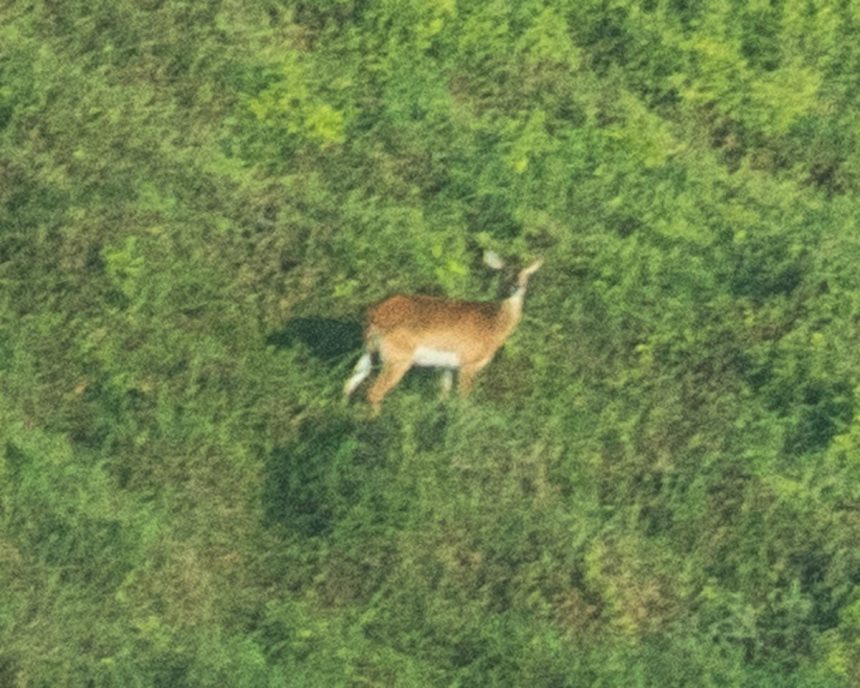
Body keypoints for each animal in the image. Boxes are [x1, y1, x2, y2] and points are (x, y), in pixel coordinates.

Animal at [344, 258, 543, 413]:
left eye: (526, 274)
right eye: (505, 272)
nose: (516, 286)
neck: (492, 325)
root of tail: (373, 313)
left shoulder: (447, 367)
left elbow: (443, 397)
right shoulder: (468, 365)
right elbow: (463, 401)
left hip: (369, 352)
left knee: (349, 384)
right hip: (397, 359)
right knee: (374, 392)